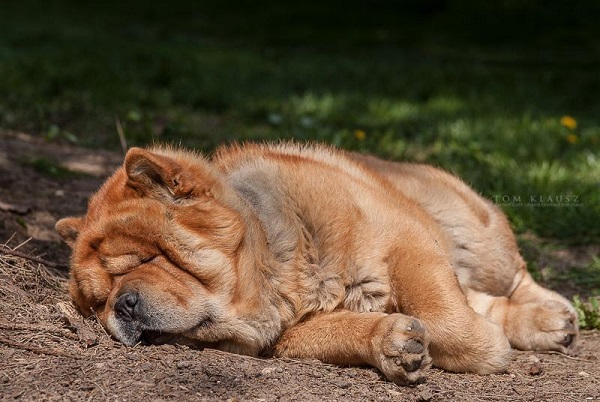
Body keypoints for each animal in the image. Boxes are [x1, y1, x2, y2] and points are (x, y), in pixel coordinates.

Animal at [56, 143, 576, 384]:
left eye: (147, 257)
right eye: (98, 302)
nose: (121, 306)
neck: (283, 266)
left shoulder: (409, 243)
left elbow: (449, 317)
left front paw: (489, 347)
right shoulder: (290, 332)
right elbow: (346, 330)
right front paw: (395, 343)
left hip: (479, 236)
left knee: (514, 276)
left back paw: (555, 317)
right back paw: (546, 325)